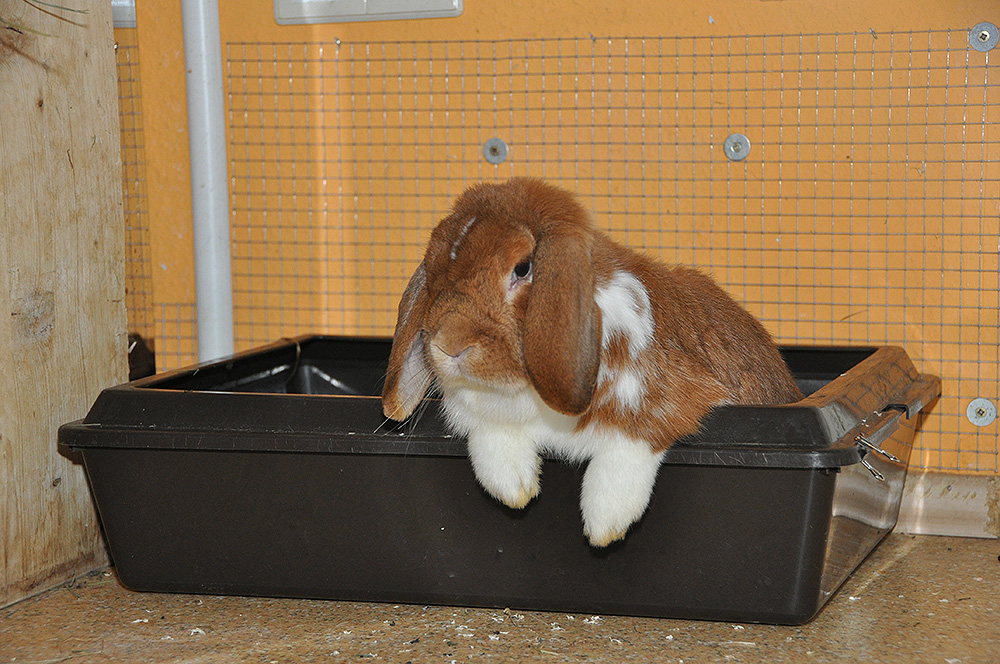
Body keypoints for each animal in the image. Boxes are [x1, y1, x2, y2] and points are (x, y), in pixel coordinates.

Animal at [378, 176, 800, 544]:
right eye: (432, 273)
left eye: (522, 268)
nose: (448, 345)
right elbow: (491, 437)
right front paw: (512, 488)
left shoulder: (665, 398)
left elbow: (630, 444)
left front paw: (605, 522)